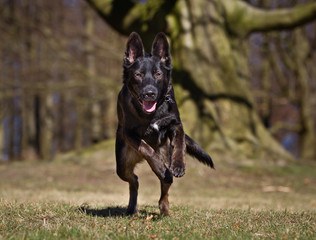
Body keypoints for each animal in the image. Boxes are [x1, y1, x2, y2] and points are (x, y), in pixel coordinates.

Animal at [115, 31, 214, 216]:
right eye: (138, 75)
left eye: (157, 74)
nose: (149, 93)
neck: (152, 114)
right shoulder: (129, 134)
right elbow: (146, 149)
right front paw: (159, 167)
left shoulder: (176, 125)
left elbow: (180, 143)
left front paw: (179, 165)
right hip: (122, 166)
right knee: (135, 180)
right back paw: (133, 207)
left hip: (162, 154)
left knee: (164, 187)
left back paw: (164, 208)